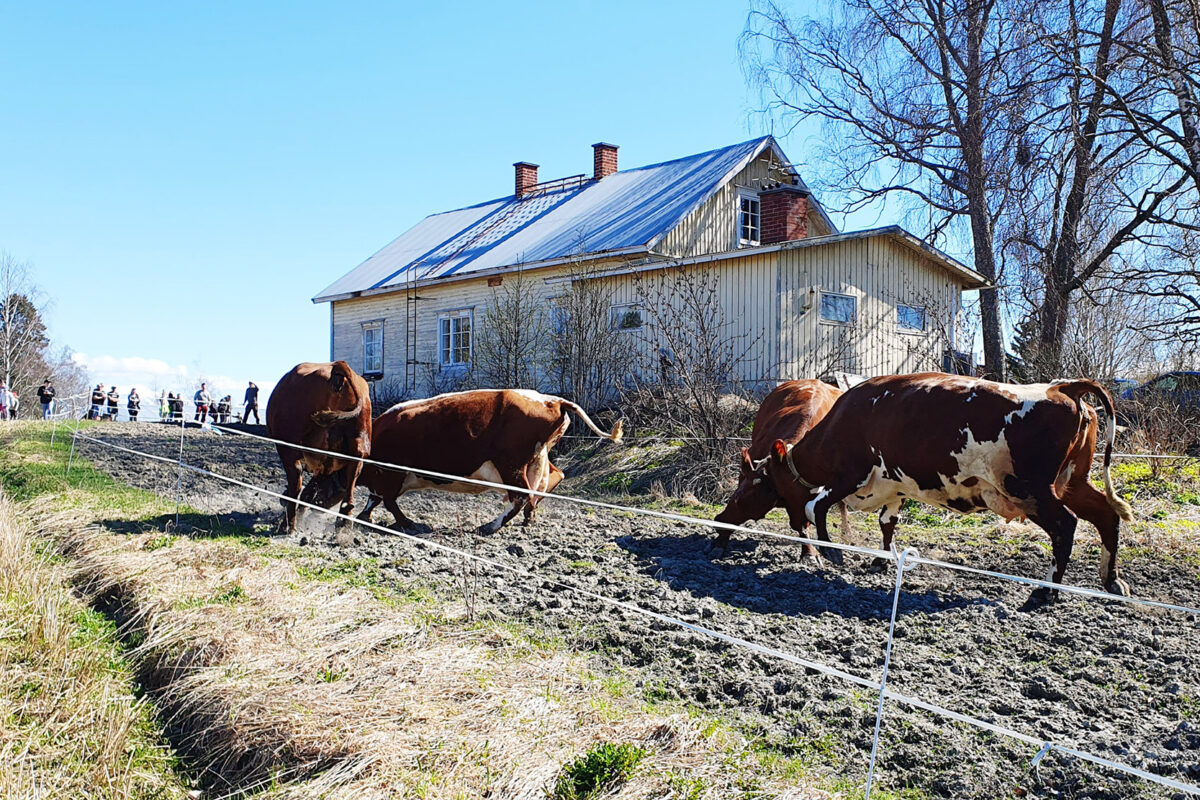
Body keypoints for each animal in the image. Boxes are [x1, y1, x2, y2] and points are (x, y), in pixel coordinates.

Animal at [266, 362, 369, 532]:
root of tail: (339, 366)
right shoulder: (324, 466)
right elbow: (310, 491)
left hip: (288, 448)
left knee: (296, 481)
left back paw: (288, 525)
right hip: (358, 451)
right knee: (350, 487)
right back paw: (343, 525)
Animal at [352, 388, 619, 534]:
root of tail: (552, 400)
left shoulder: (390, 472)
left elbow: (388, 502)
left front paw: (410, 524)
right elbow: (377, 499)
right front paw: (364, 517)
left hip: (511, 464)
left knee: (520, 495)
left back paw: (489, 527)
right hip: (537, 460)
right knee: (546, 483)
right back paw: (528, 519)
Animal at [710, 381, 844, 556]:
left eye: (742, 501)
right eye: (737, 497)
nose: (719, 520)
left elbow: (803, 526)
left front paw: (809, 552)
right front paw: (720, 541)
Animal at [768, 376, 1132, 599]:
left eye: (768, 481)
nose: (790, 524)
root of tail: (1062, 387)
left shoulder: (849, 474)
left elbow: (815, 505)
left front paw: (832, 551)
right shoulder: (896, 486)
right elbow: (887, 524)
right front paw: (883, 561)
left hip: (1031, 490)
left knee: (1065, 525)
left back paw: (1045, 592)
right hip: (1073, 482)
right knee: (1107, 515)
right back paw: (1112, 580)